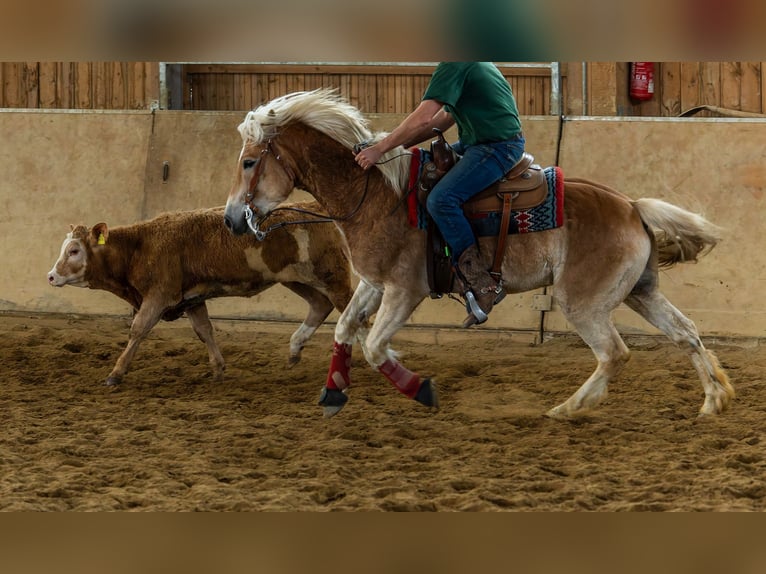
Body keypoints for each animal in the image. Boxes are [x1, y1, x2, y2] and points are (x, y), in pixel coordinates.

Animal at [49, 202, 356, 388]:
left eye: (74, 250)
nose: (51, 276)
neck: (139, 247)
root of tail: (316, 207)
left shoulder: (160, 294)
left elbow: (138, 329)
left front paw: (116, 373)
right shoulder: (191, 299)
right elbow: (204, 330)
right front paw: (218, 369)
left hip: (333, 276)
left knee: (351, 314)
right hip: (294, 278)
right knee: (319, 304)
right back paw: (294, 350)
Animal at [224, 91, 736, 424]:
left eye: (249, 162)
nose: (232, 220)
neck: (374, 193)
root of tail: (631, 207)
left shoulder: (404, 291)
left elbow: (373, 346)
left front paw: (421, 390)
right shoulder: (373, 283)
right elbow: (346, 329)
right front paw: (333, 391)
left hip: (583, 302)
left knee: (615, 352)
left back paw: (569, 408)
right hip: (640, 292)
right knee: (686, 333)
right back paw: (713, 400)